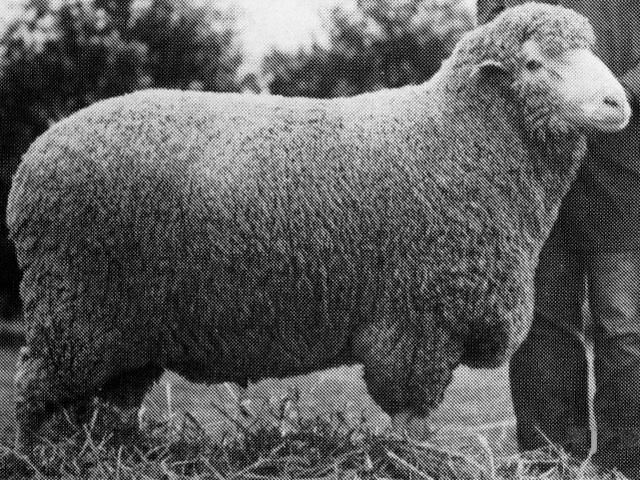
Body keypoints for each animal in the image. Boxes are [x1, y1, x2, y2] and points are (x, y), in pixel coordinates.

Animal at [7, 2, 631, 443]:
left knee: (106, 407)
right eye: (534, 63)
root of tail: (33, 158)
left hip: (124, 330)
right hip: (74, 308)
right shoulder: (417, 323)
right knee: (35, 398)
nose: (618, 103)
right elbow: (411, 421)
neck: (460, 139)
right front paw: (409, 460)